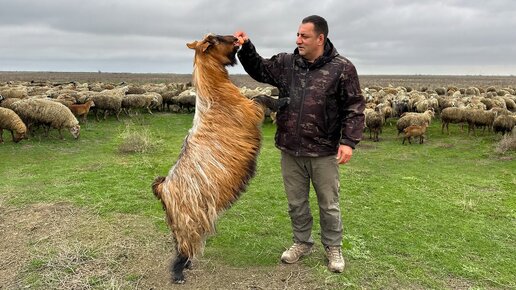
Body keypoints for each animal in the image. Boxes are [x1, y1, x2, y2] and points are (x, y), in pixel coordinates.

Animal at [151, 33, 288, 284]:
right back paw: (179, 273)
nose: (236, 38)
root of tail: (162, 188)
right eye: (214, 39)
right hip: (189, 220)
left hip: (177, 223)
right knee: (183, 247)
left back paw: (187, 265)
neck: (214, 91)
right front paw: (284, 100)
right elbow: (262, 97)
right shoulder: (250, 111)